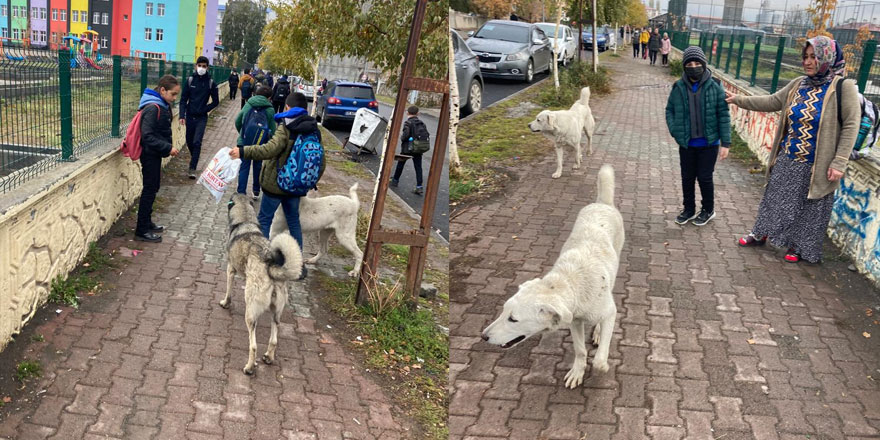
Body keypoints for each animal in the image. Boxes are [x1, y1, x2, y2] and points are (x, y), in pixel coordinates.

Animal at [484, 166, 624, 388]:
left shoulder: (609, 312)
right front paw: (577, 372)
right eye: (503, 311)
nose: (483, 337)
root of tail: (602, 203)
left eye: (513, 319)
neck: (570, 283)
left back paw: (598, 332)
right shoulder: (575, 321)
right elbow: (580, 351)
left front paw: (600, 364)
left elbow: (600, 358)